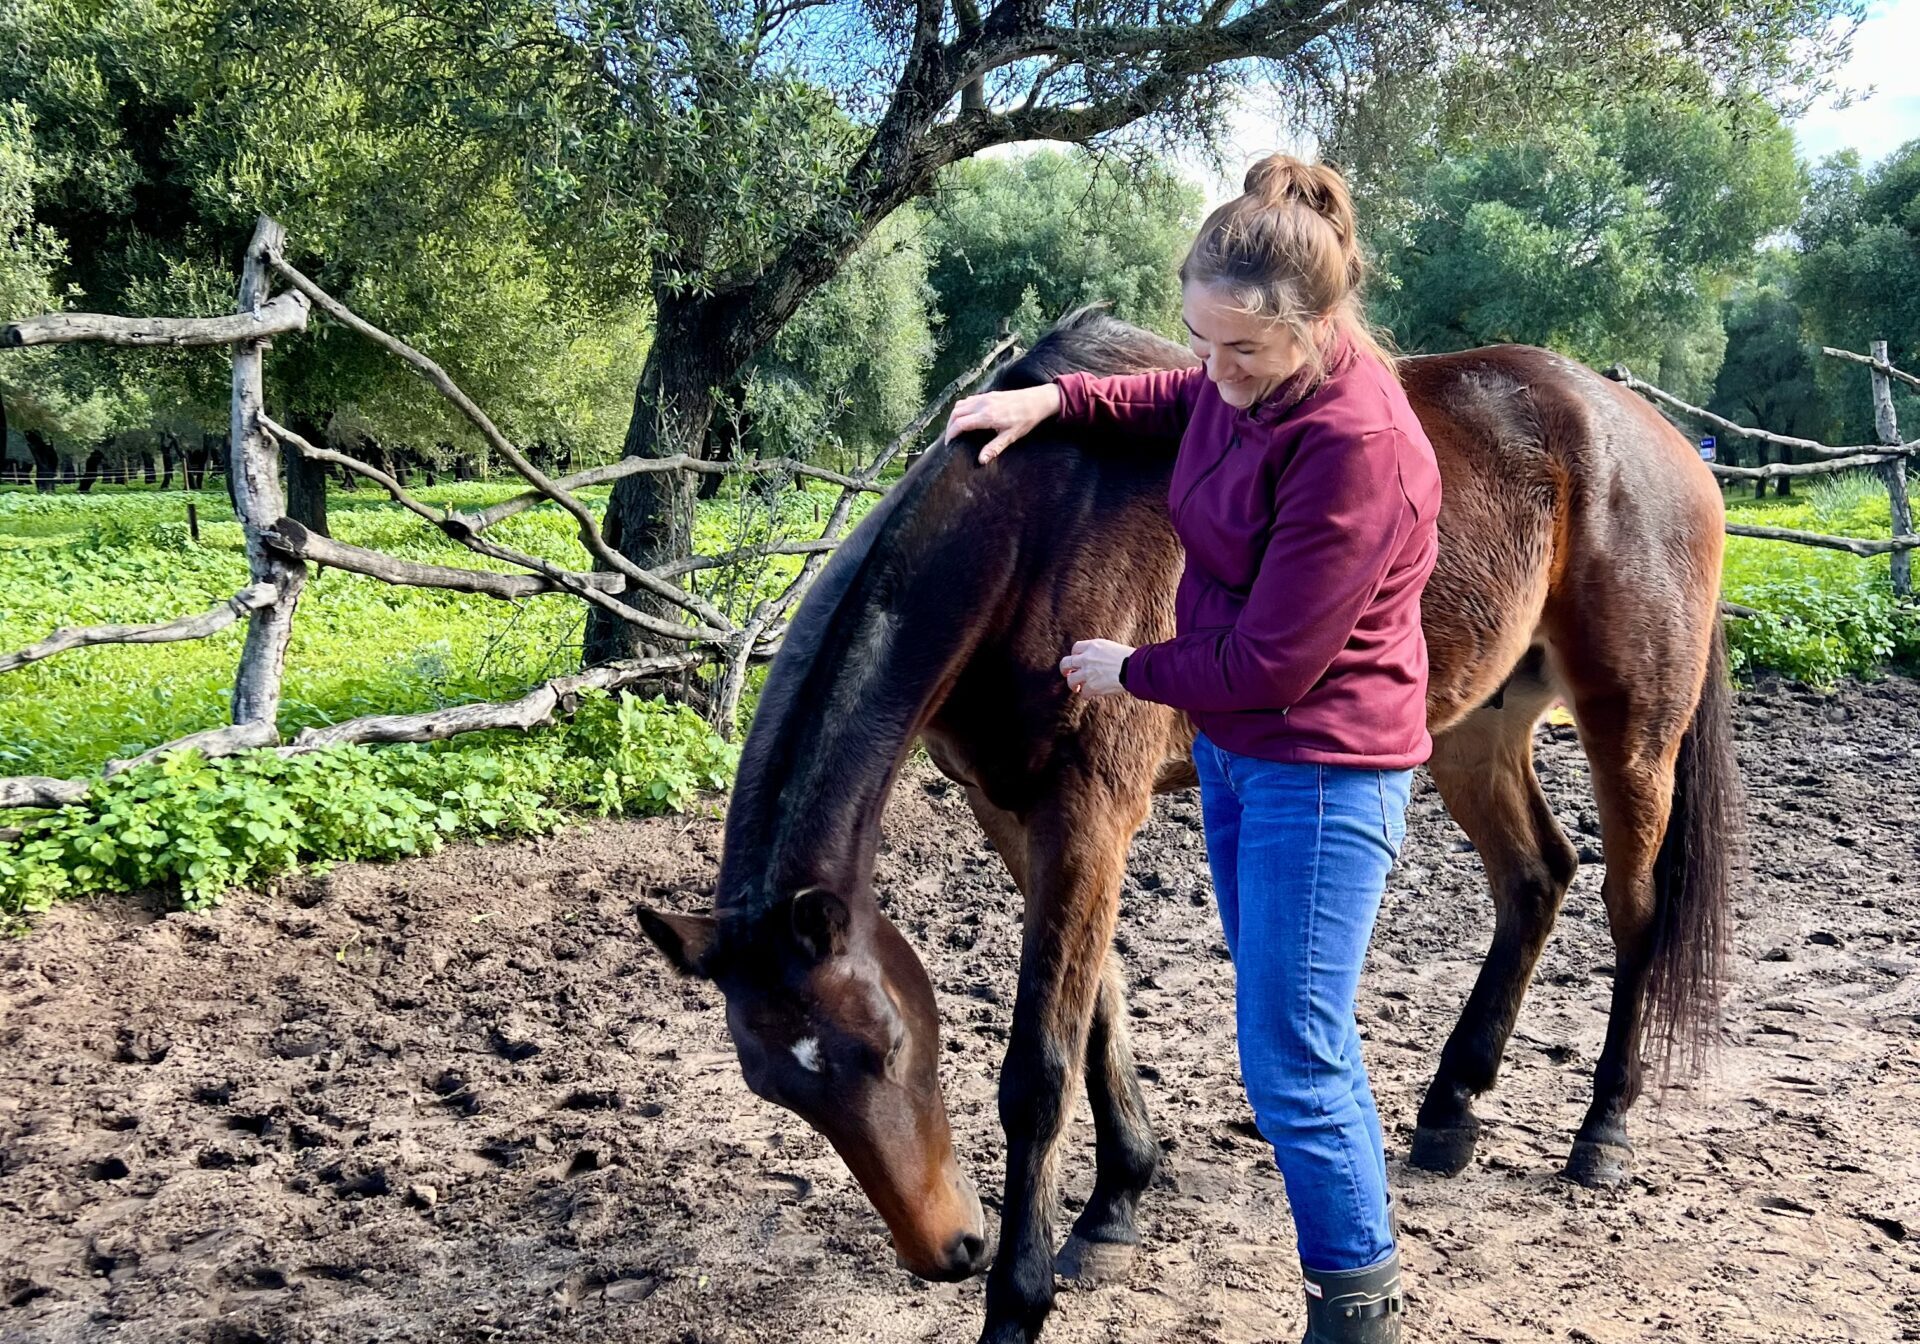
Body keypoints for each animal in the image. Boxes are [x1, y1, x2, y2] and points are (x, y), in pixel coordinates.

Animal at [633, 307, 1743, 1344]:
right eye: (778, 1087)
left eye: (889, 1044)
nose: (950, 1250)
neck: (1034, 526)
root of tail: (1655, 435)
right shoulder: (1017, 812)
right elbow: (1098, 1015)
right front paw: (1115, 1205)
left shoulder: (1090, 810)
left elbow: (1039, 1068)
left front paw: (1018, 1301)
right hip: (1477, 728)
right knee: (1536, 878)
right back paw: (1449, 1111)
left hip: (1632, 729)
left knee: (1635, 911)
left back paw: (1604, 1129)